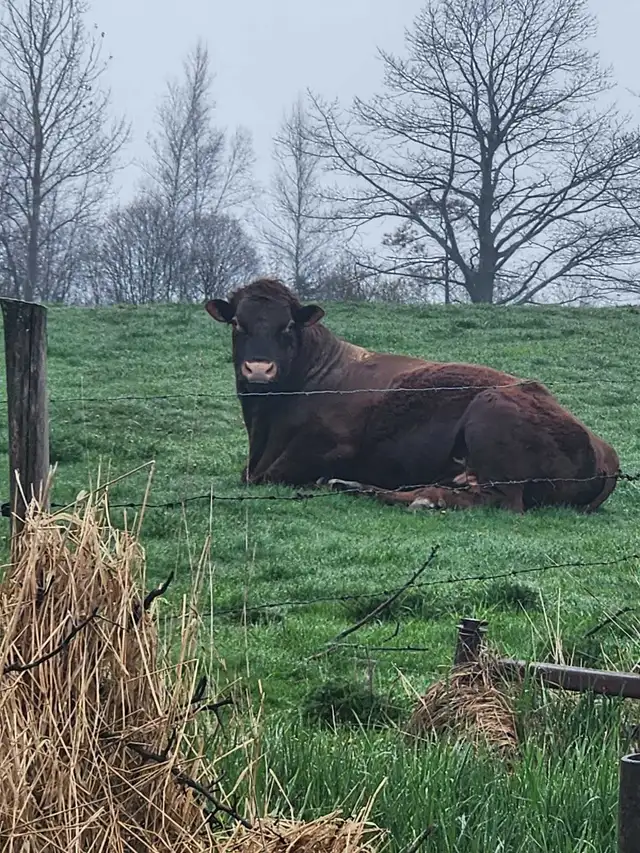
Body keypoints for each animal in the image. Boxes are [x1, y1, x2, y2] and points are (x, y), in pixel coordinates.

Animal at [205, 277, 620, 514]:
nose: (259, 369)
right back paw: (354, 487)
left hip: (492, 418)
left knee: (498, 502)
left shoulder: (329, 447)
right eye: (237, 323)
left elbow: (267, 478)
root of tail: (604, 451)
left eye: (288, 325)